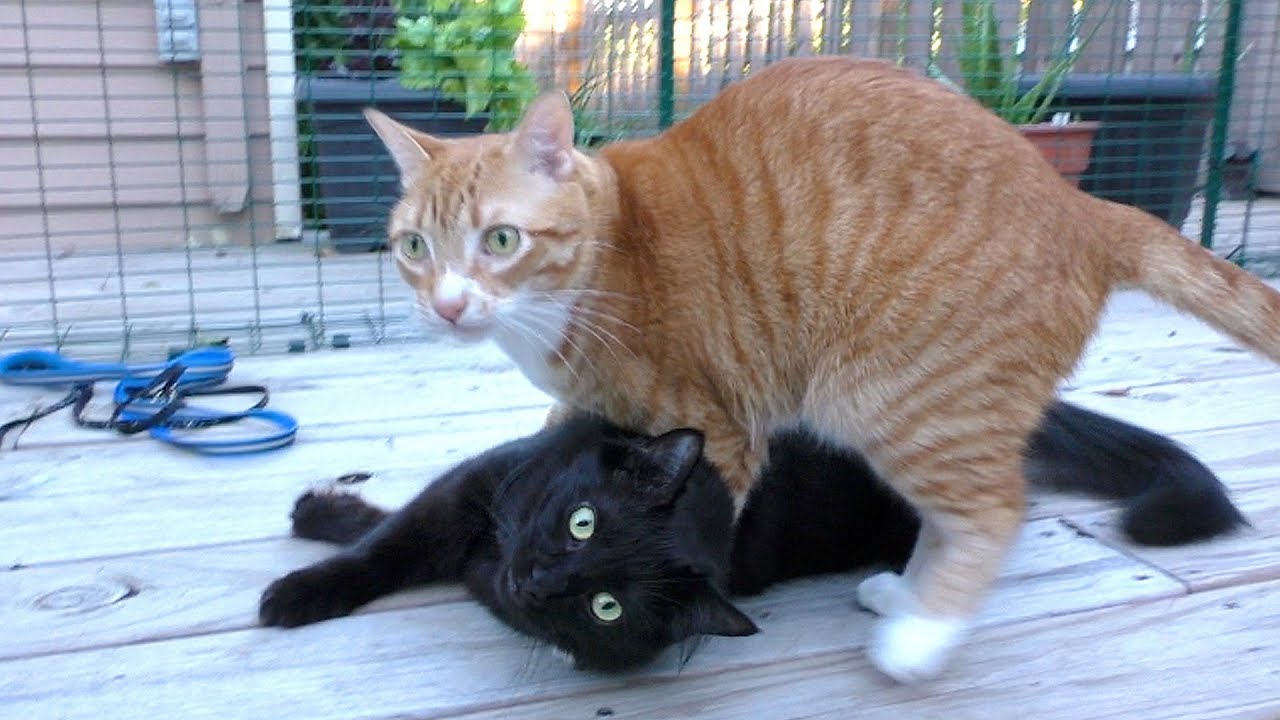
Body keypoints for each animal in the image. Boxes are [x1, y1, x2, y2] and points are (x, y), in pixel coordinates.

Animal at [254, 399, 1244, 671]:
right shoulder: (483, 486)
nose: (540, 584)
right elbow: (396, 539)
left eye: (608, 606)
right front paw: (315, 549)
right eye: (580, 520)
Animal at [360, 56, 1280, 676]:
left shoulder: (720, 430)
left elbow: (698, 535)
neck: (604, 254)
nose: (448, 306)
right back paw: (905, 594)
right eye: (414, 248)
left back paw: (921, 634)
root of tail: (1084, 209)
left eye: (500, 240)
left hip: (894, 398)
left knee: (994, 510)